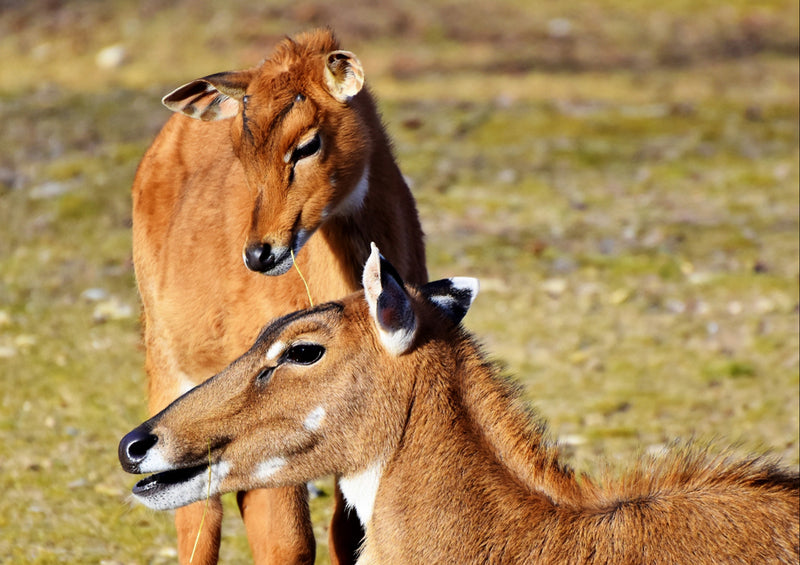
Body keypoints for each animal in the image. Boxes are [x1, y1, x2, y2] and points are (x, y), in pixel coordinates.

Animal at [131, 29, 428, 564]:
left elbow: (349, 530)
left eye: (308, 142)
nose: (260, 252)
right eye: (241, 148)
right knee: (199, 516)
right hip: (166, 364)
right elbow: (287, 541)